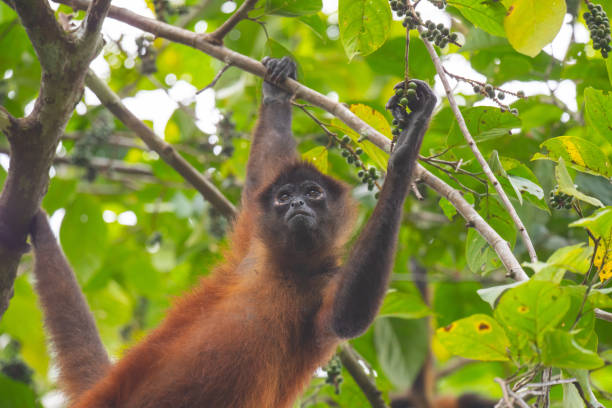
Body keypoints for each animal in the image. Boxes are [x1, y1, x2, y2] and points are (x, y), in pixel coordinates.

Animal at [28, 55, 438, 406]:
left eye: (313, 193)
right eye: (284, 196)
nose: (297, 204)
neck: (289, 267)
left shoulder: (324, 281)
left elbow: (347, 315)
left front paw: (405, 150)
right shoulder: (254, 249)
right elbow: (262, 172)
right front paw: (276, 92)